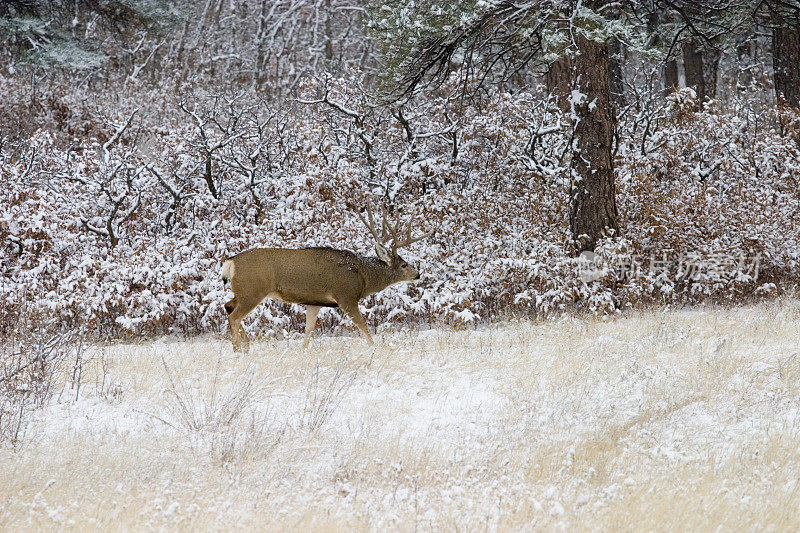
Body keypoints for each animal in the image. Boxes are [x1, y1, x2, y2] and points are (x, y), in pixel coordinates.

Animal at [219, 206, 434, 352]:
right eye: (404, 265)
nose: (417, 274)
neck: (363, 275)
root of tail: (230, 262)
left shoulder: (314, 302)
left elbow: (309, 328)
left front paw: (302, 351)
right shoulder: (346, 295)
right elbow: (362, 324)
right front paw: (374, 348)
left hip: (243, 292)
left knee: (228, 306)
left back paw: (246, 346)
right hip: (252, 291)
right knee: (234, 316)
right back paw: (238, 350)